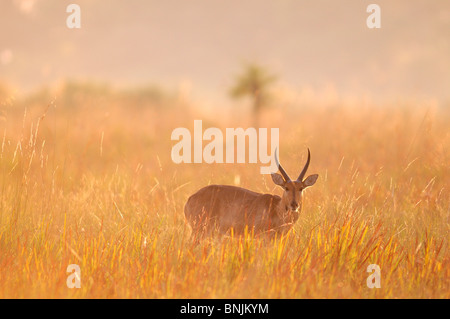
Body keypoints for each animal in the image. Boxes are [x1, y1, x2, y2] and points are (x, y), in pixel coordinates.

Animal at [185, 149, 318, 241]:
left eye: (301, 188)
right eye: (286, 187)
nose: (294, 205)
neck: (276, 209)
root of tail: (190, 199)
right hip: (200, 231)